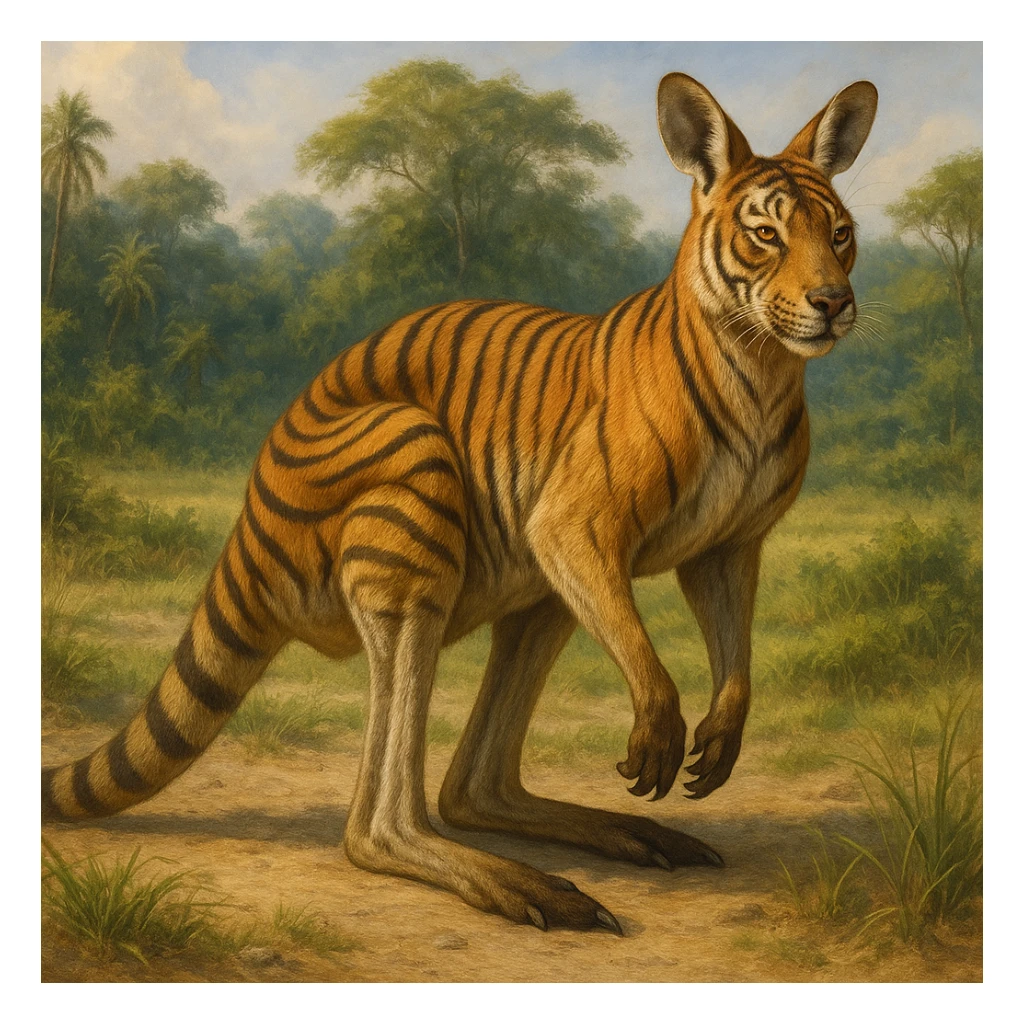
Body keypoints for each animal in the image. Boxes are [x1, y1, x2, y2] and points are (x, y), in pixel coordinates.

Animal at [42, 73, 877, 935]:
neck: (760, 367)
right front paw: (659, 733)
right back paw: (528, 887)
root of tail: (250, 513)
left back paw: (623, 839)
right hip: (414, 501)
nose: (833, 301)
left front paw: (720, 740)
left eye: (840, 234)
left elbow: (734, 654)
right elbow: (649, 659)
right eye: (765, 235)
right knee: (378, 823)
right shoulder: (569, 520)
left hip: (538, 592)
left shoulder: (728, 547)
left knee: (473, 785)